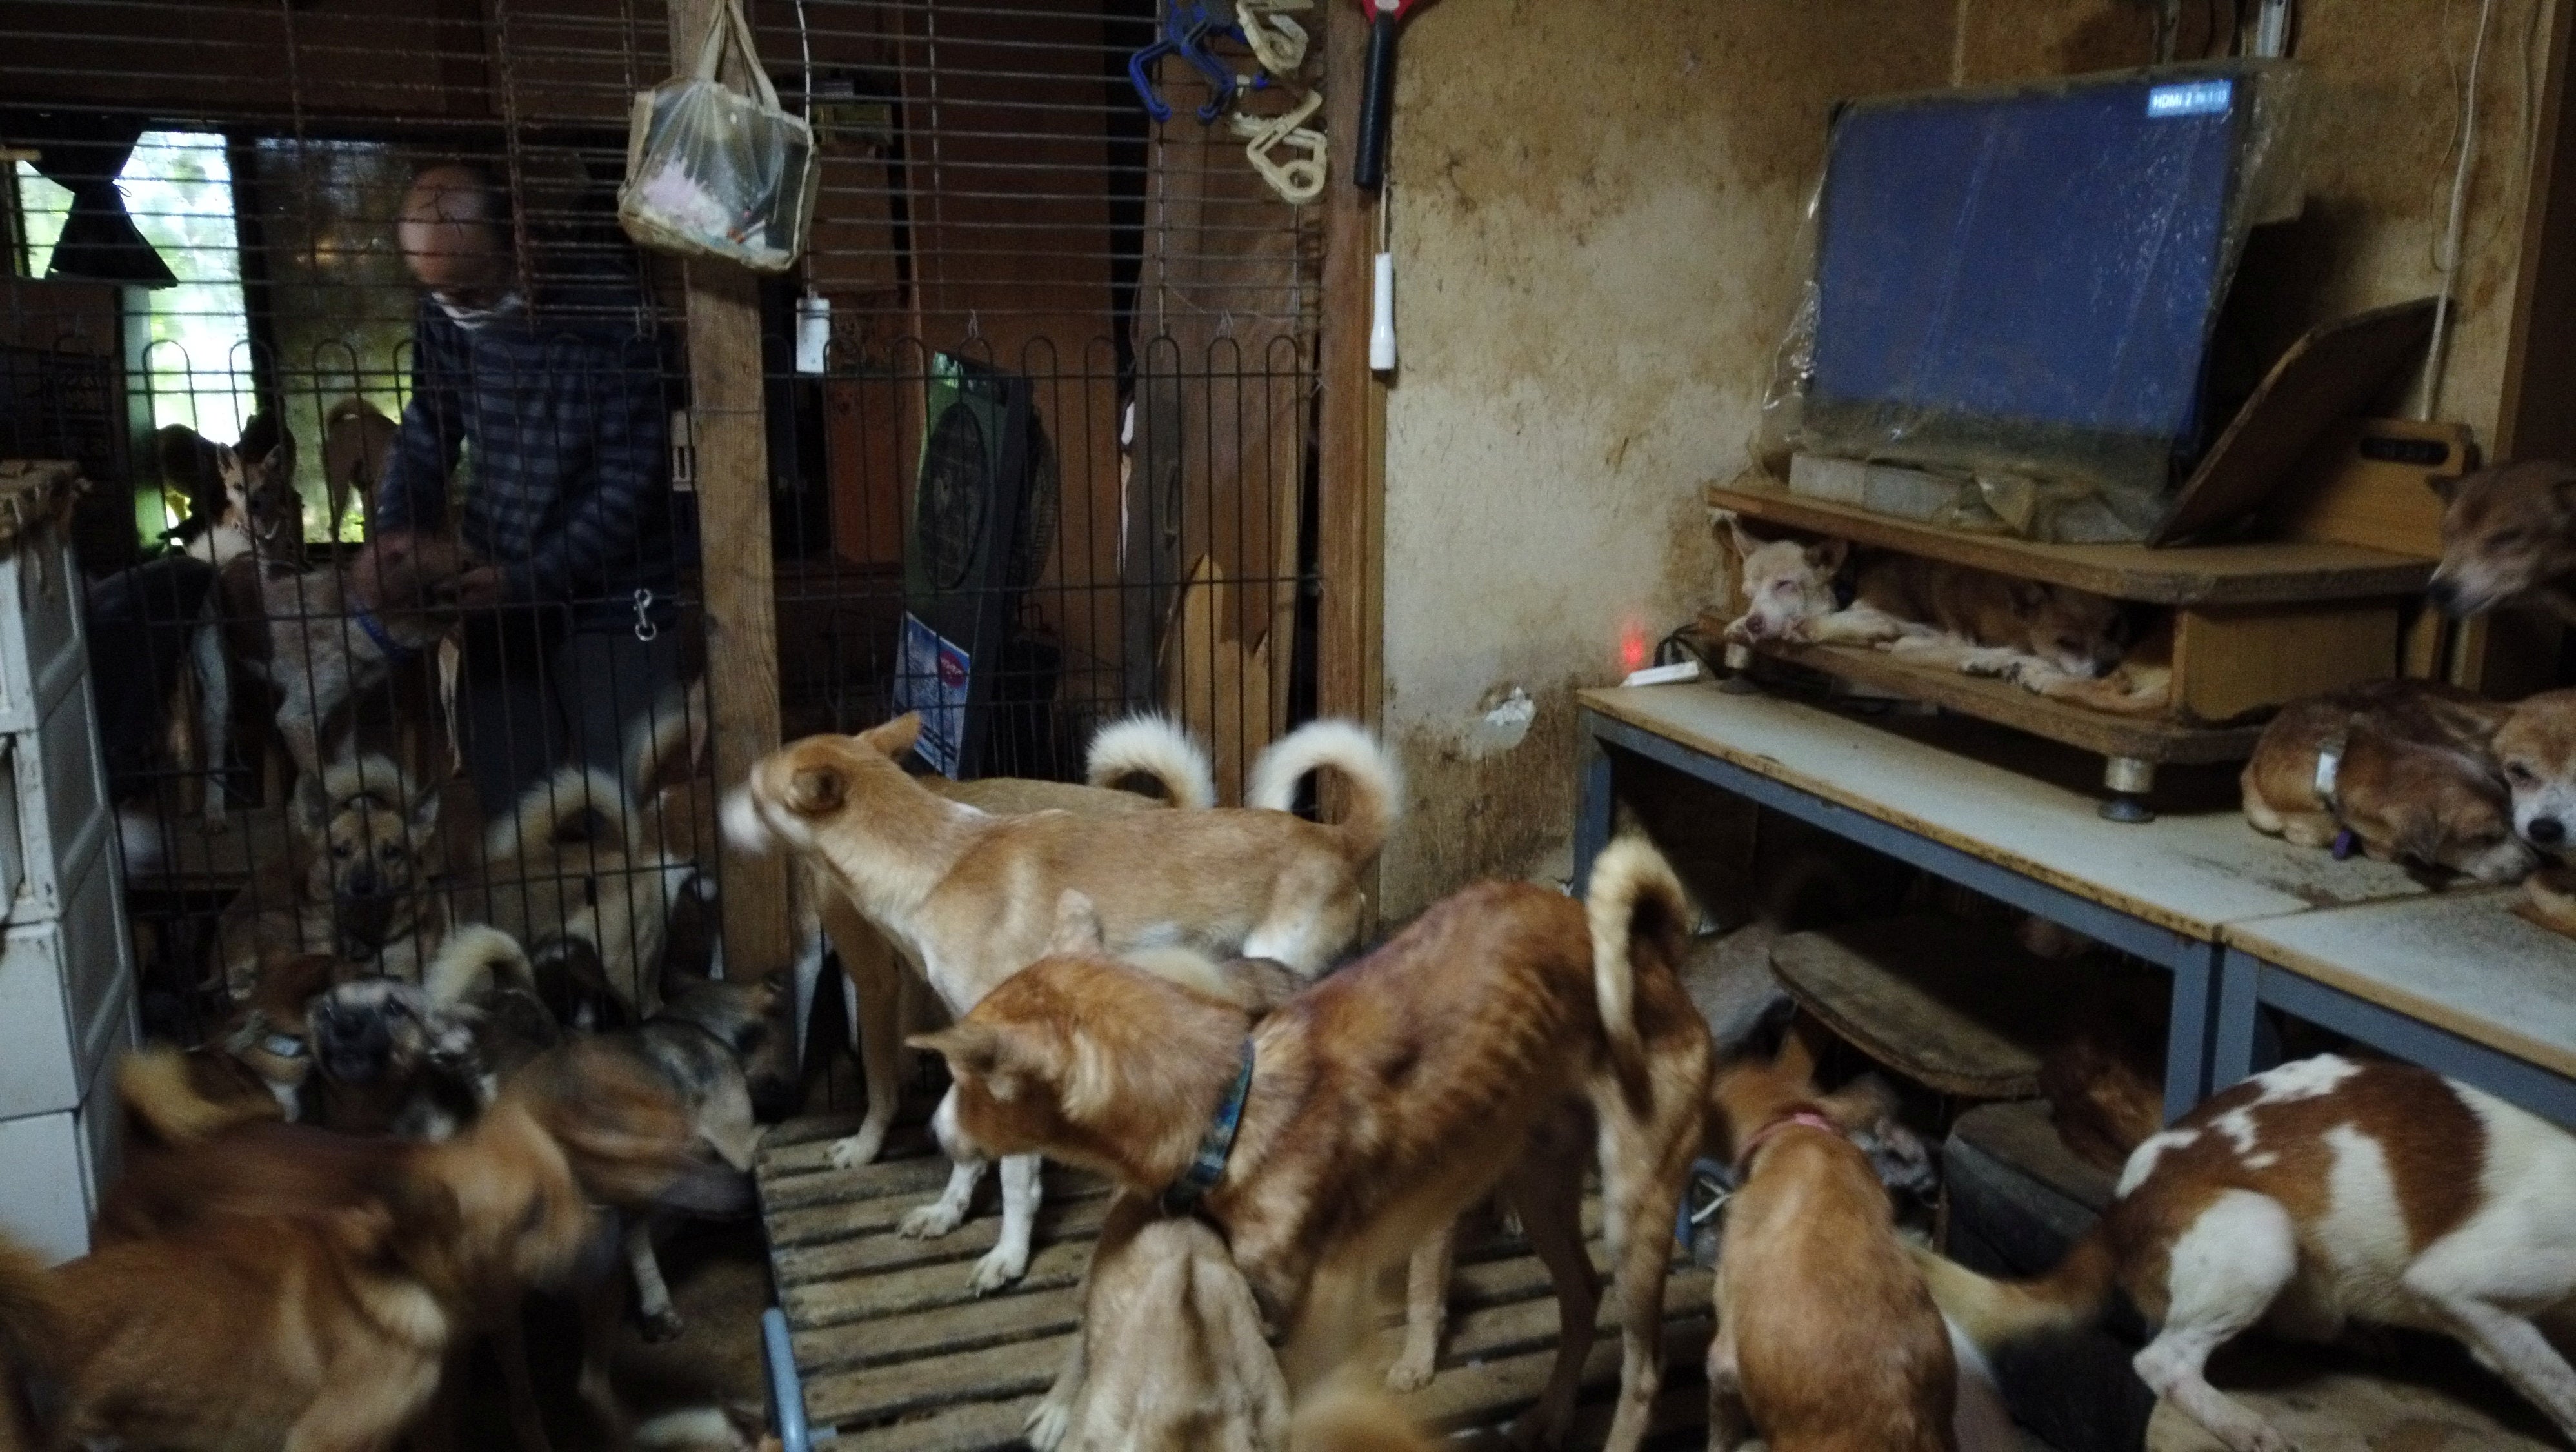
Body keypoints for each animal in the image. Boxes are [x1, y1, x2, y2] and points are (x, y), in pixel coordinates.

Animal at [726, 712, 1401, 1289]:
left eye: (755, 792)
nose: (719, 812)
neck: (939, 863)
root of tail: (1337, 839)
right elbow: (969, 1158)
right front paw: (947, 1212)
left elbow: (1015, 1177)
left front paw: (1007, 1256)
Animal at [922, 840, 1710, 1452]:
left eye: (968, 1079)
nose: (935, 1136)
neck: (1233, 1107)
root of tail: (1660, 961)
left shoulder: (1325, 1316)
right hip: (1539, 1178)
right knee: (1581, 1294)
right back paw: (1549, 1417)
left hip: (1635, 1202)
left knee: (1644, 1366)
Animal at [1916, 1057, 2576, 1452]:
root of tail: (2118, 1210)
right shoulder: (2457, 1286)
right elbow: (2559, 1382)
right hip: (2262, 1234)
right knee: (2162, 1362)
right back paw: (2239, 1423)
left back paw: (2362, 1337)